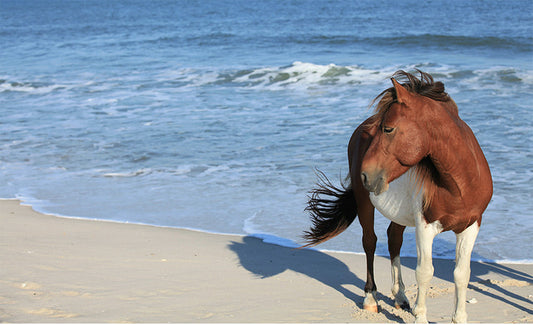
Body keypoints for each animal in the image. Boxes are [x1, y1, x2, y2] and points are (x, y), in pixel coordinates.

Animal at [302, 70, 492, 322]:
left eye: (389, 129)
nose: (366, 175)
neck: (459, 184)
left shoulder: (471, 226)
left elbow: (462, 273)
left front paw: (458, 318)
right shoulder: (425, 226)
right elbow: (425, 272)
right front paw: (420, 318)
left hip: (399, 213)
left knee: (394, 239)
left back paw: (400, 297)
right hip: (365, 203)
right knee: (370, 242)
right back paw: (371, 299)